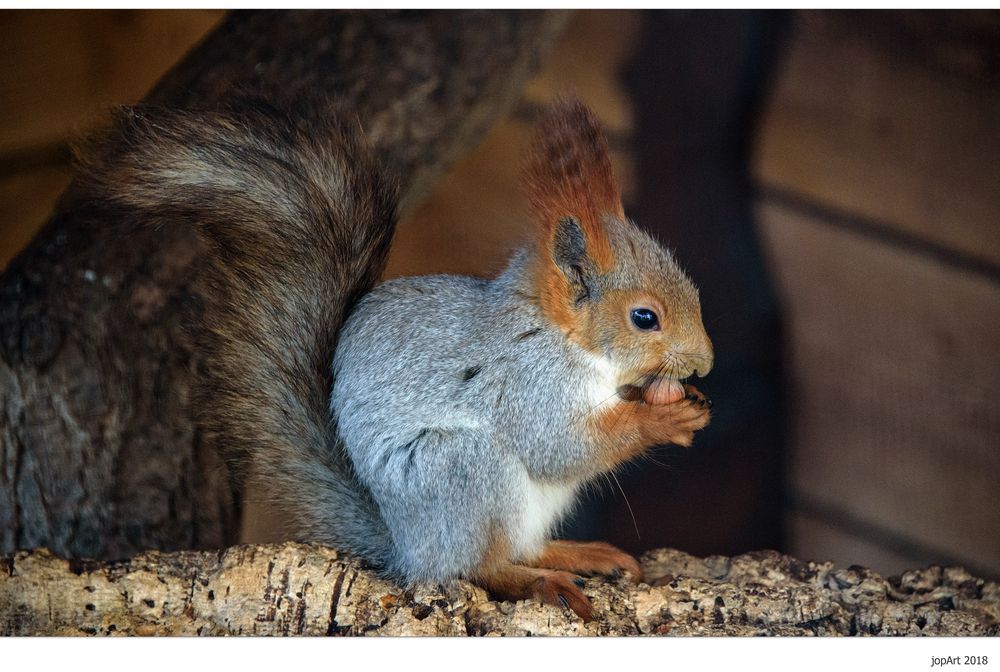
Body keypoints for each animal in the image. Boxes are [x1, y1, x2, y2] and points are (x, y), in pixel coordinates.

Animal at [82, 93, 716, 620]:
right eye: (645, 318)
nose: (705, 364)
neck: (563, 339)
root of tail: (406, 545)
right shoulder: (524, 381)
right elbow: (557, 446)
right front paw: (662, 417)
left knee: (519, 547)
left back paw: (575, 554)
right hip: (460, 470)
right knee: (475, 566)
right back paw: (535, 581)